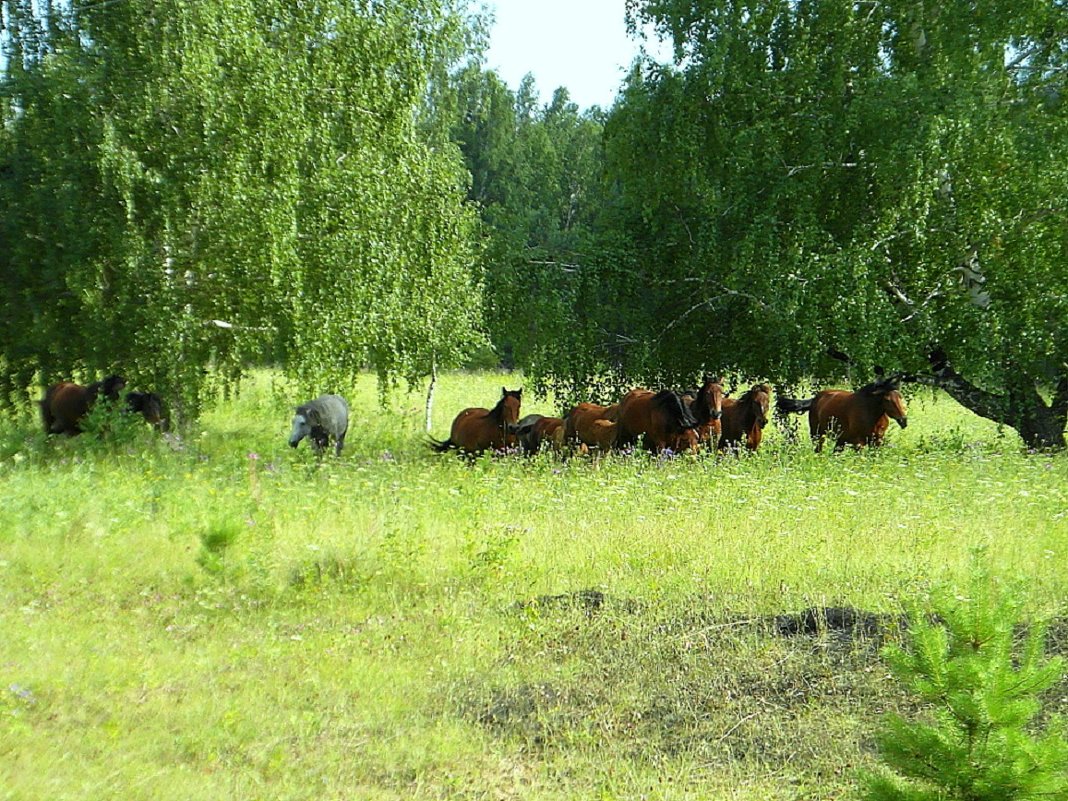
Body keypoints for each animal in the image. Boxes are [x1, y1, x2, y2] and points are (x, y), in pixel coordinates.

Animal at [777, 378, 909, 452]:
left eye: (900, 396)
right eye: (887, 399)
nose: (903, 420)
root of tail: (815, 398)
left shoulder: (877, 442)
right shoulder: (859, 443)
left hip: (840, 440)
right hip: (817, 435)